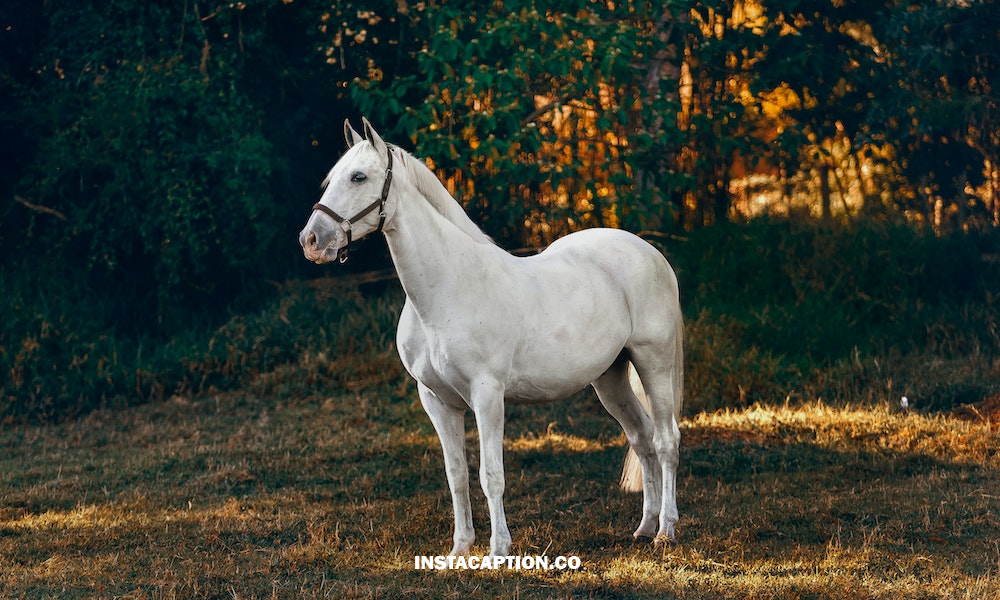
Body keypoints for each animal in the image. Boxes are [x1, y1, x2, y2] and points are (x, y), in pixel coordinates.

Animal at [299, 118, 684, 557]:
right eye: (331, 178)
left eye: (359, 176)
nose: (311, 241)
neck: (447, 289)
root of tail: (651, 253)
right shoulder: (437, 400)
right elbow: (456, 475)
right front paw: (461, 547)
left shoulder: (487, 395)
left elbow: (491, 475)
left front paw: (499, 549)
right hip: (610, 378)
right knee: (641, 438)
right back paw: (644, 526)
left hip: (653, 363)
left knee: (666, 440)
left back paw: (666, 529)